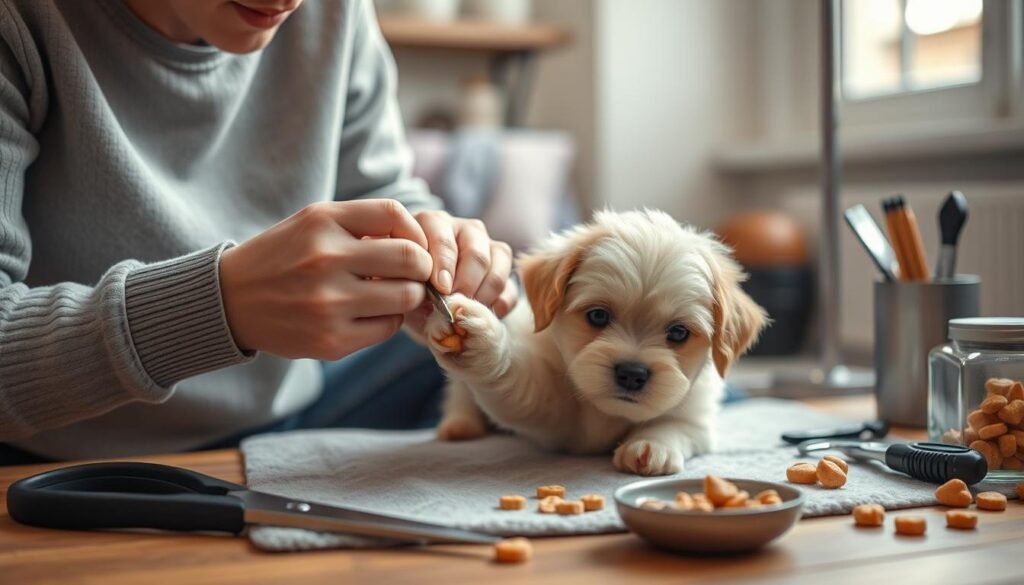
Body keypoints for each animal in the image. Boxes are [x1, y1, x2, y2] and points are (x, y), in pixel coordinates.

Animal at [419, 211, 765, 475]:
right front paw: (483, 341)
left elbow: (674, 425)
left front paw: (651, 445)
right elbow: (514, 383)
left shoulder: (696, 416)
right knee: (460, 395)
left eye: (679, 333)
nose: (632, 374)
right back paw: (460, 424)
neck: (608, 414)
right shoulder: (545, 408)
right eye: (598, 316)